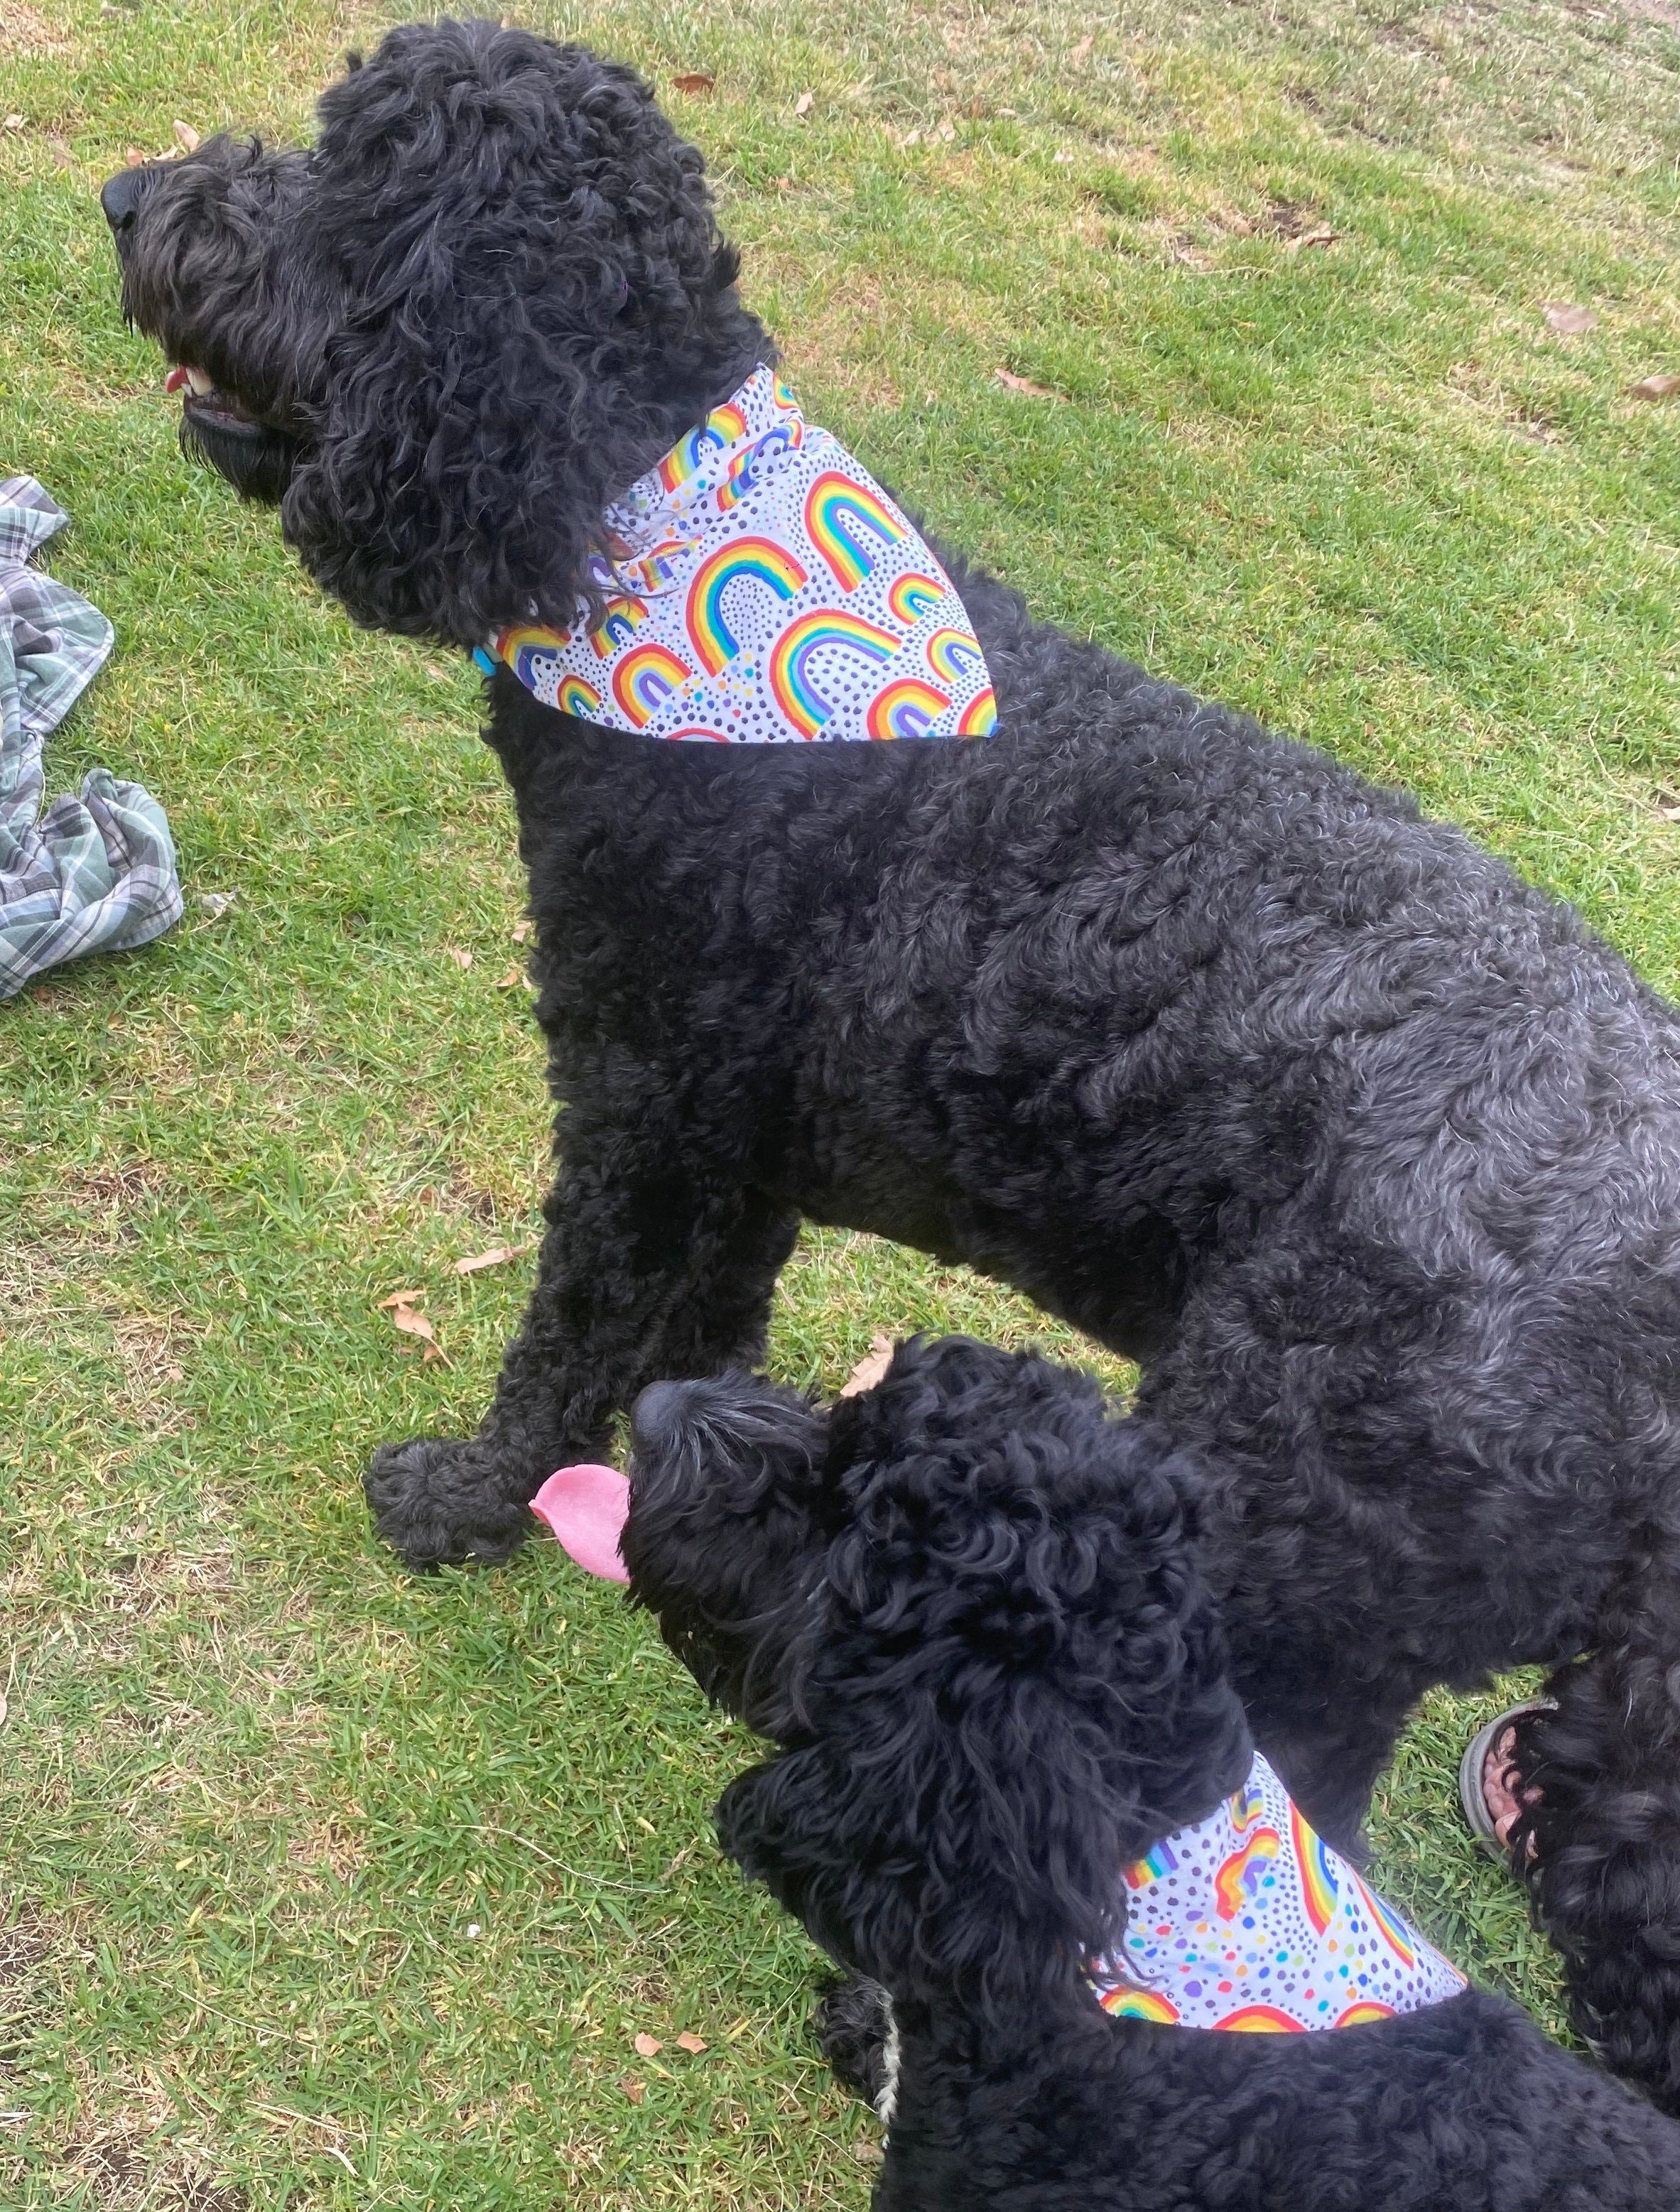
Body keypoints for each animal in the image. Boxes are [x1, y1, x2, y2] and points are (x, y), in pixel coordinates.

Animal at [98, 13, 1680, 2105]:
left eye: (354, 190)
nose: (131, 198)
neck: (658, 565)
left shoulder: (639, 1110)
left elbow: (566, 1337)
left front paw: (467, 1500)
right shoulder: (742, 1144)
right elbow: (699, 1333)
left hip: (1268, 1569)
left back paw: (893, 2018)